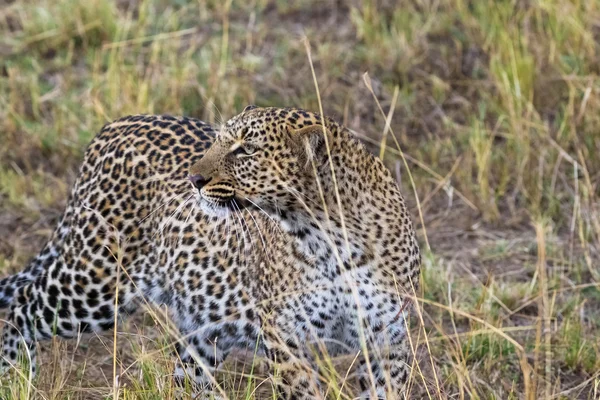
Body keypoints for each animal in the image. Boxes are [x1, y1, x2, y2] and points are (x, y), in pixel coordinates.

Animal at [0, 105, 420, 396]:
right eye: (218, 141)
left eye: (245, 150)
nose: (194, 179)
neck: (327, 239)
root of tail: (116, 125)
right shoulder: (288, 342)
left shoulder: (388, 340)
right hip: (97, 281)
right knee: (21, 305)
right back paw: (16, 378)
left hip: (201, 329)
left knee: (188, 377)